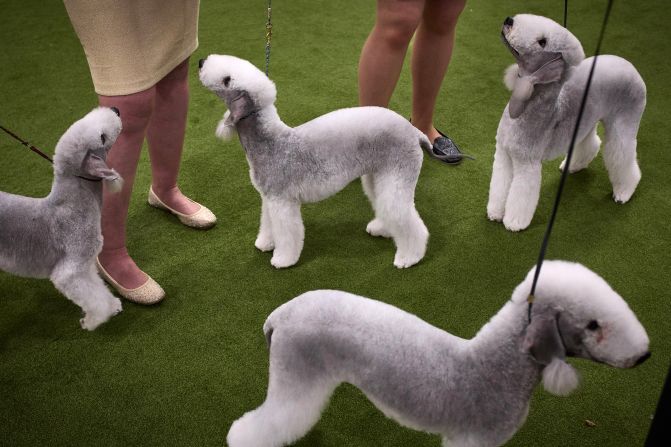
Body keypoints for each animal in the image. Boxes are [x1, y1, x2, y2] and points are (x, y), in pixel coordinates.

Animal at [0, 107, 124, 330]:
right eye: (102, 137)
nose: (116, 110)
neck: (74, 202)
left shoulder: (86, 265)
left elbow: (98, 287)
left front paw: (113, 306)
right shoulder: (71, 271)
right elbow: (94, 299)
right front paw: (93, 321)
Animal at [200, 53, 430, 270]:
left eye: (227, 80)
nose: (201, 61)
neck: (271, 141)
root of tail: (414, 132)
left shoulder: (282, 201)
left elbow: (287, 233)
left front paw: (283, 259)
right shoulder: (268, 198)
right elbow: (267, 223)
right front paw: (265, 243)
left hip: (398, 173)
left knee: (407, 218)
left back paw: (410, 257)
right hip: (378, 176)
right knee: (385, 205)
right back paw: (382, 229)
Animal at [226, 262, 652, 447]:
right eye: (593, 325)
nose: (645, 355)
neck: (496, 366)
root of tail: (281, 314)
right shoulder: (474, 440)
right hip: (296, 372)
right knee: (267, 422)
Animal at [486, 14, 648, 231]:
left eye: (542, 42)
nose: (509, 20)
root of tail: (630, 65)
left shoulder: (527, 163)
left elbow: (521, 194)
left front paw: (514, 222)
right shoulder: (503, 155)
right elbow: (499, 185)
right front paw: (495, 212)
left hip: (624, 122)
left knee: (623, 156)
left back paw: (624, 192)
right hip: (586, 118)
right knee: (591, 142)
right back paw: (573, 165)